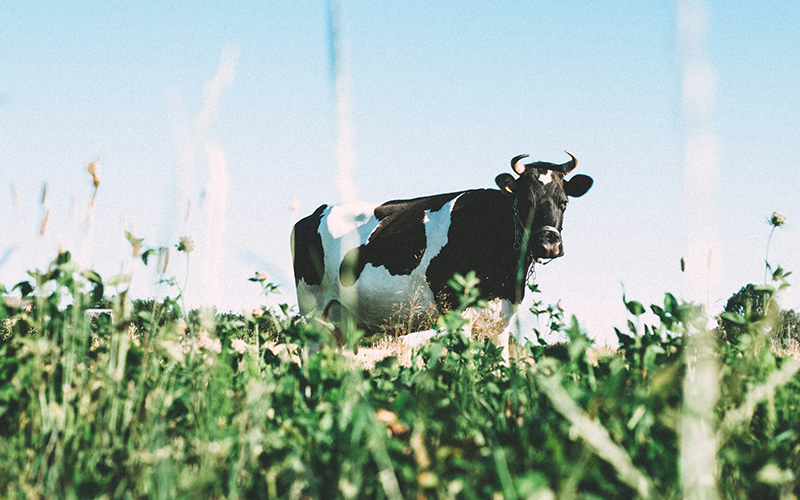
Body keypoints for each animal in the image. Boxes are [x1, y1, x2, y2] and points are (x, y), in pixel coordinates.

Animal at [291, 152, 593, 360]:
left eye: (564, 202)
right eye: (526, 201)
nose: (548, 244)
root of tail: (315, 212)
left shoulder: (502, 317)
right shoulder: (458, 310)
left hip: (343, 322)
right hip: (314, 309)